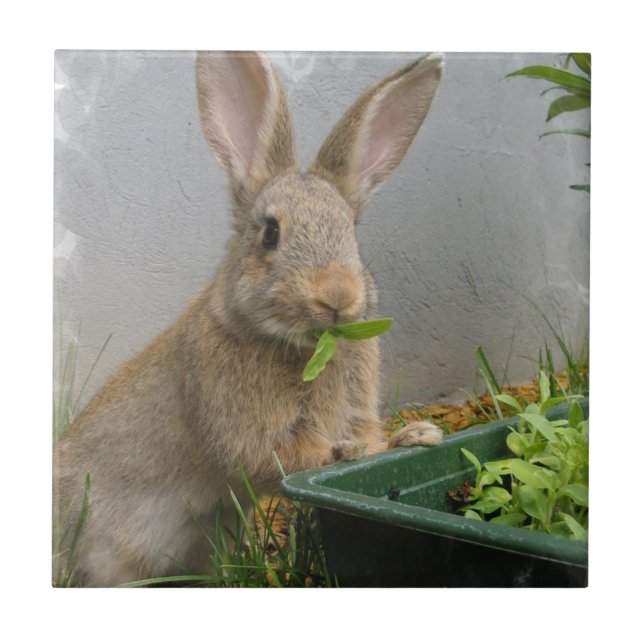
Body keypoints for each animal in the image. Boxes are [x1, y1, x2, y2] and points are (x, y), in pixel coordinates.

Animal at [53, 51, 445, 587]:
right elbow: (302, 457)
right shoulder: (252, 434)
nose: (337, 295)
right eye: (270, 233)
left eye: (351, 231)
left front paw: (420, 435)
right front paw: (388, 446)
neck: (302, 345)